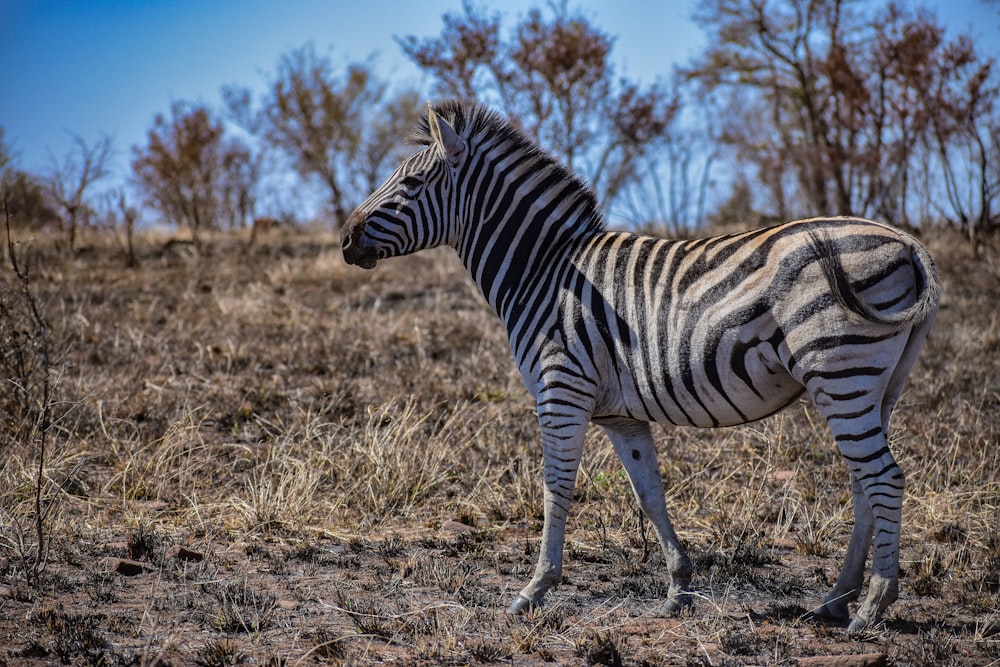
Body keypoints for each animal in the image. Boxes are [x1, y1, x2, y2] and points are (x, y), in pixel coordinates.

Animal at [342, 102, 936, 636]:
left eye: (411, 184)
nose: (346, 239)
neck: (543, 271)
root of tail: (908, 241)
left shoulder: (561, 390)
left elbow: (556, 488)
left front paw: (535, 590)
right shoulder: (620, 414)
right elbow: (648, 492)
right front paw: (678, 589)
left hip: (840, 370)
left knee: (884, 478)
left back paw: (870, 607)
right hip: (875, 384)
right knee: (863, 483)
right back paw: (835, 601)